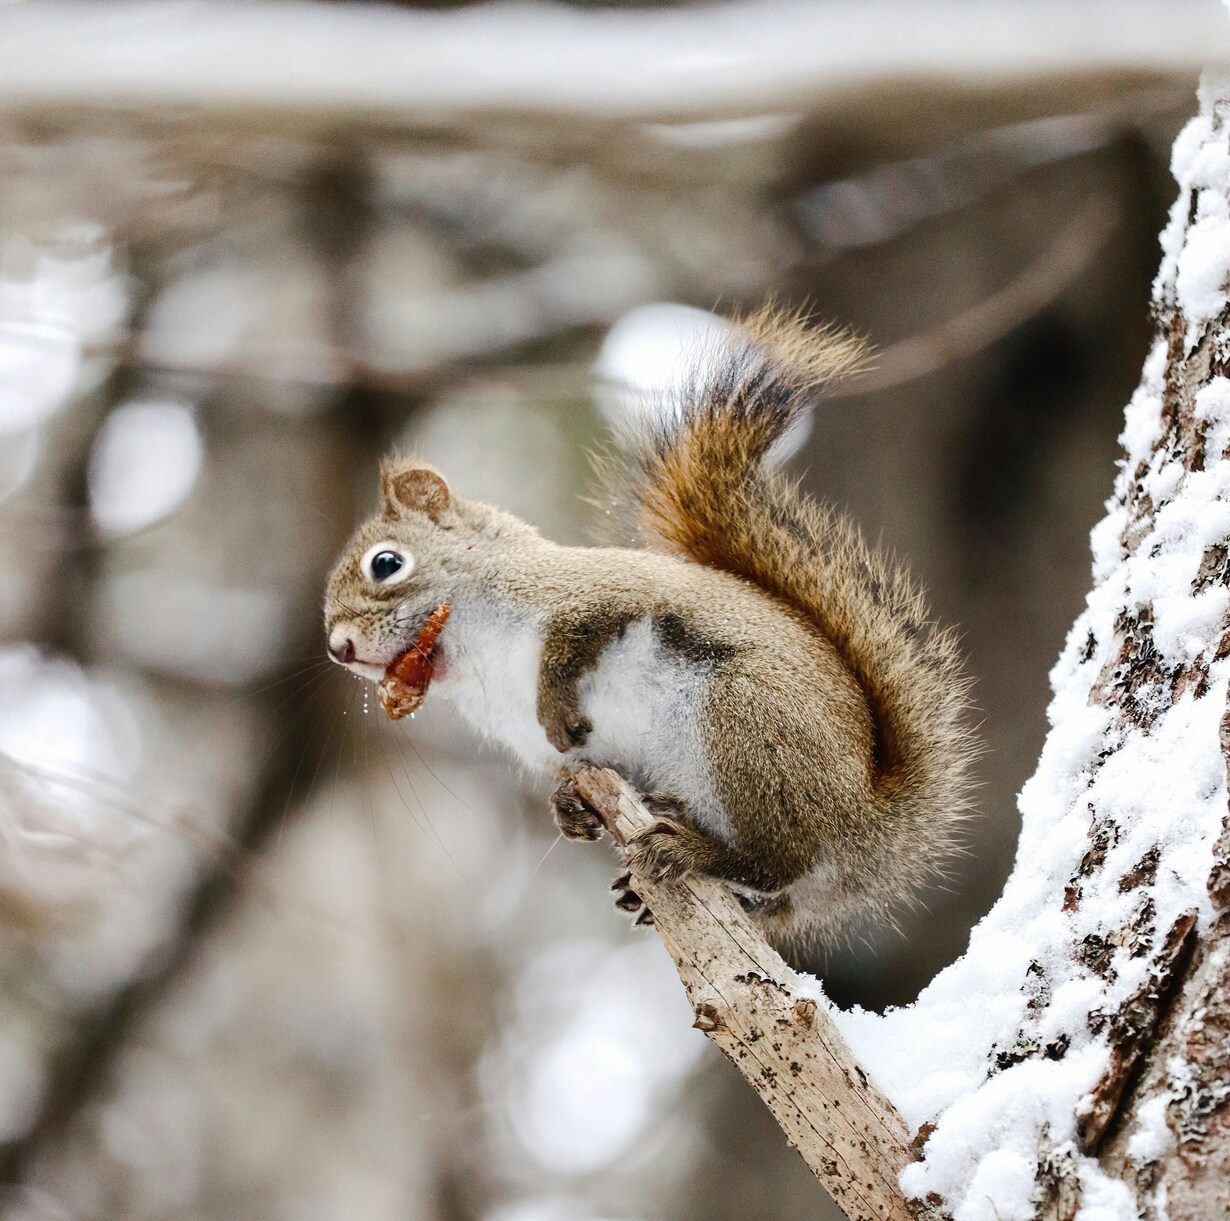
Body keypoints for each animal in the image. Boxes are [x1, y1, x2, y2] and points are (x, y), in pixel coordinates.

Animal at [323, 307, 976, 949]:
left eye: (387, 563)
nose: (338, 649)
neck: (477, 663)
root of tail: (867, 826)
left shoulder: (597, 593)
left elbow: (574, 641)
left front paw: (555, 705)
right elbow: (569, 775)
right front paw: (567, 809)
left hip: (748, 724)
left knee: (777, 861)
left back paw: (689, 850)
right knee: (776, 896)